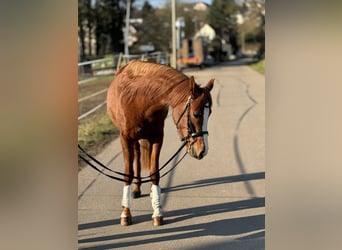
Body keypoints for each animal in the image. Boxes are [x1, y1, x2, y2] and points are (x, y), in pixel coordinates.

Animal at [107, 60, 214, 227]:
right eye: (196, 114)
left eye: (210, 113)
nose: (203, 150)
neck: (139, 99)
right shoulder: (125, 139)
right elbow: (128, 173)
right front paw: (125, 212)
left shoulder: (157, 138)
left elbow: (154, 173)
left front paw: (157, 211)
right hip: (133, 140)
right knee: (137, 155)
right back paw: (136, 188)